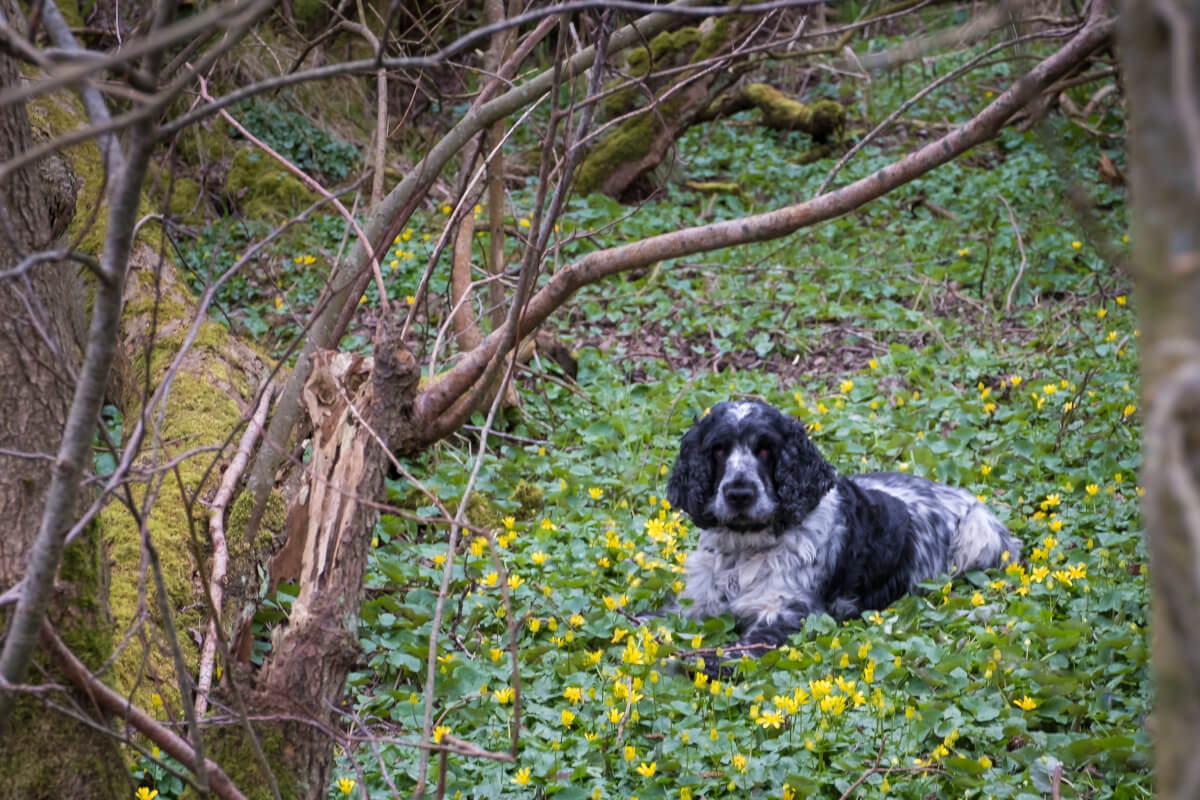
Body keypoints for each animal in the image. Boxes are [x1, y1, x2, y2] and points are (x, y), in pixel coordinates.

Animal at [672, 400, 1017, 652]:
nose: (739, 494)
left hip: (977, 535)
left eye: (766, 449)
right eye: (718, 449)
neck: (746, 548)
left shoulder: (786, 613)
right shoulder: (693, 602)